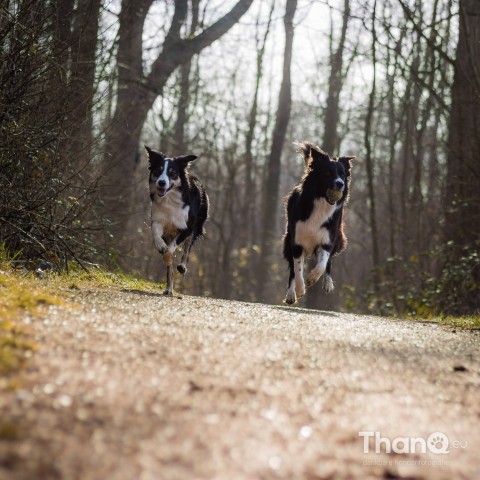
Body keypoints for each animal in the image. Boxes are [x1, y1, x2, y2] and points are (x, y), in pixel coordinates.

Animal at [144, 146, 208, 296]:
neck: (169, 199)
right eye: (158, 170)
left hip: (197, 225)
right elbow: (157, 235)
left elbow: (171, 251)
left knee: (187, 248)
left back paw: (182, 267)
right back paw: (169, 288)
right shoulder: (158, 220)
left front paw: (167, 257)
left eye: (172, 173)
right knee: (170, 267)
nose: (161, 182)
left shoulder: (186, 228)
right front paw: (161, 246)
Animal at [282, 142, 352, 306]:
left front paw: (313, 278)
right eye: (328, 173)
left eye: (342, 174)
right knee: (292, 271)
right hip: (288, 241)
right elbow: (297, 269)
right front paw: (300, 289)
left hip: (338, 238)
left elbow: (322, 264)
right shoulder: (296, 242)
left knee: (328, 262)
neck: (320, 203)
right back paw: (291, 294)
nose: (340, 184)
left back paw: (327, 282)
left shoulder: (327, 240)